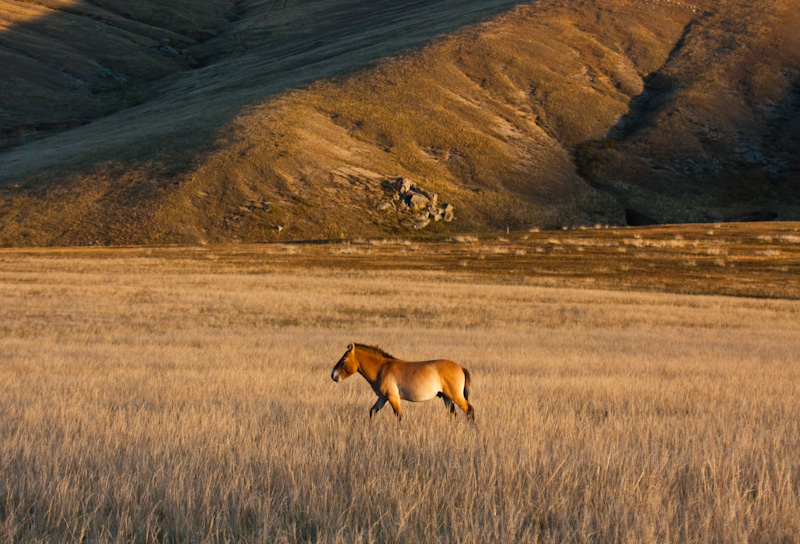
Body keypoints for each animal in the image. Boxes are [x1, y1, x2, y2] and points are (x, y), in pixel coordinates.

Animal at [332, 342, 476, 422]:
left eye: (344, 359)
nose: (333, 375)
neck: (381, 368)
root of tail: (460, 367)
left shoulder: (393, 397)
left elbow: (399, 416)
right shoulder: (383, 398)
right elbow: (372, 412)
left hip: (455, 396)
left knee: (469, 410)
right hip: (447, 398)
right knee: (453, 414)